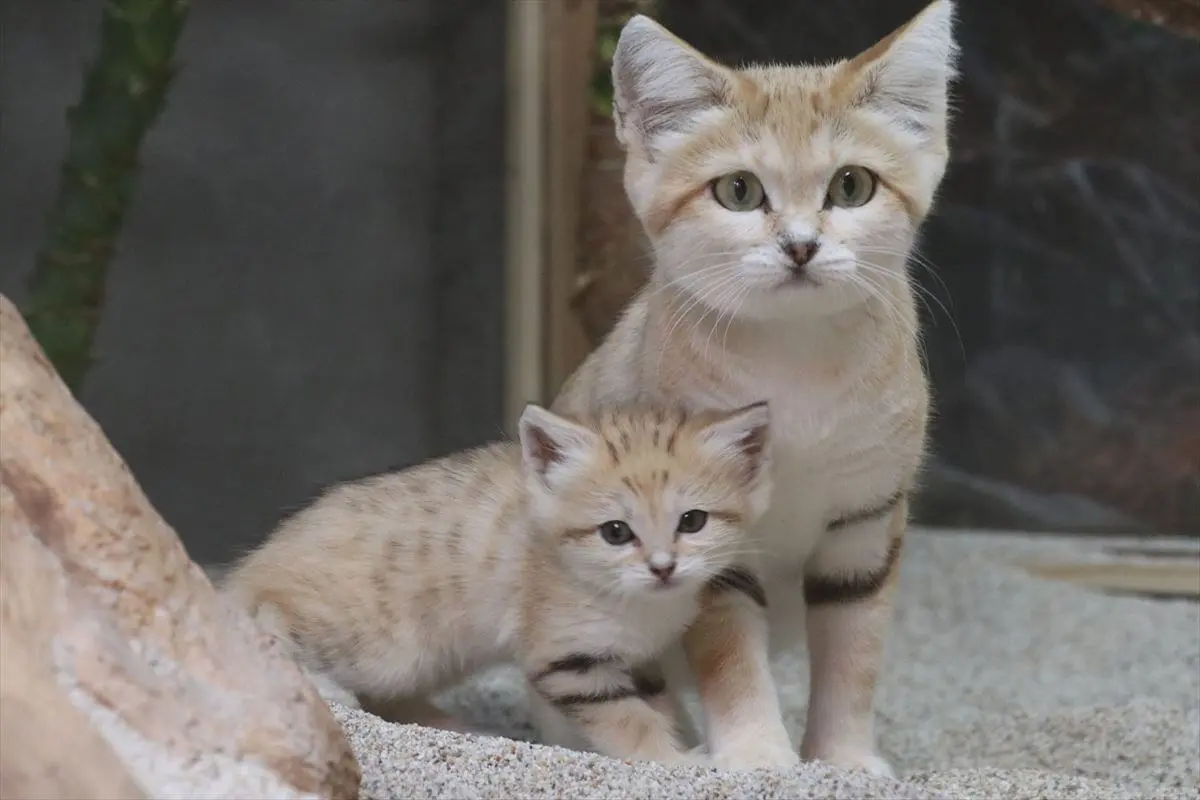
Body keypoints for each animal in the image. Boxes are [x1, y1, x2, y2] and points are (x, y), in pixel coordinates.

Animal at [220, 402, 772, 767]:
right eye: (616, 532)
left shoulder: (637, 662)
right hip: (376, 643)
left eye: (693, 522)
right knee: (267, 626)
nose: (663, 568)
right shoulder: (568, 662)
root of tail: (252, 566)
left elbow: (658, 705)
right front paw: (677, 763)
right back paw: (329, 689)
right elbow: (631, 722)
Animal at [544, 0, 955, 777]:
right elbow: (731, 657)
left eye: (851, 186)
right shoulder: (706, 537)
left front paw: (843, 758)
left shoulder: (865, 525)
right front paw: (756, 753)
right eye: (738, 191)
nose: (800, 245)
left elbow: (855, 654)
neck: (797, 368)